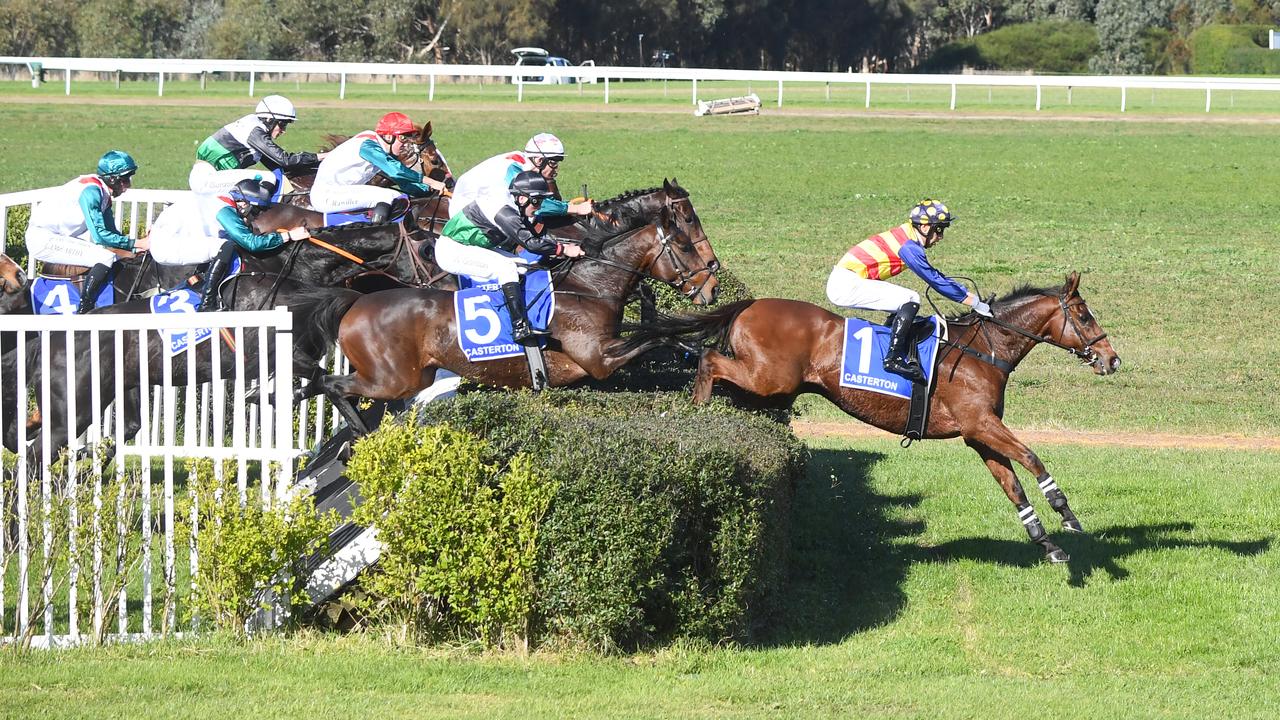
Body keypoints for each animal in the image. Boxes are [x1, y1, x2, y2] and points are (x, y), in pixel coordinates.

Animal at [616, 271, 1121, 563]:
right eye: (1083, 314)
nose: (1111, 359)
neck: (983, 349)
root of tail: (752, 304)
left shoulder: (977, 433)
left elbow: (1012, 483)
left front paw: (1046, 542)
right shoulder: (981, 423)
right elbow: (1033, 458)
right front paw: (1067, 515)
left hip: (768, 390)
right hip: (766, 378)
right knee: (707, 360)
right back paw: (697, 413)